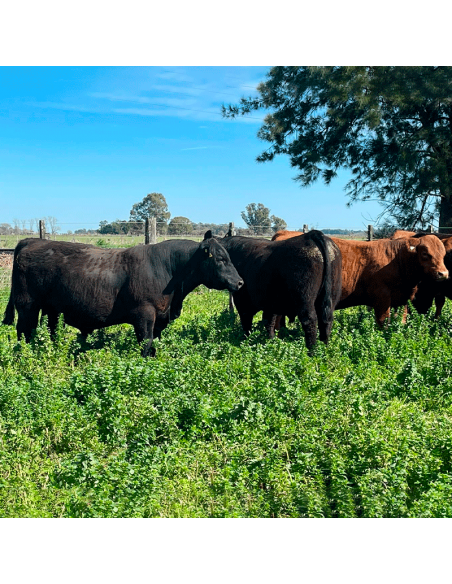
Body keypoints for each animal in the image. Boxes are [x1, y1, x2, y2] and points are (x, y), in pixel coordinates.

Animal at [2, 233, 244, 356]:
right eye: (221, 259)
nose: (240, 282)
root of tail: (32, 241)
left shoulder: (160, 319)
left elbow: (154, 345)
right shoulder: (144, 315)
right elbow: (146, 344)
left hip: (52, 311)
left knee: (50, 332)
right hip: (27, 307)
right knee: (24, 332)